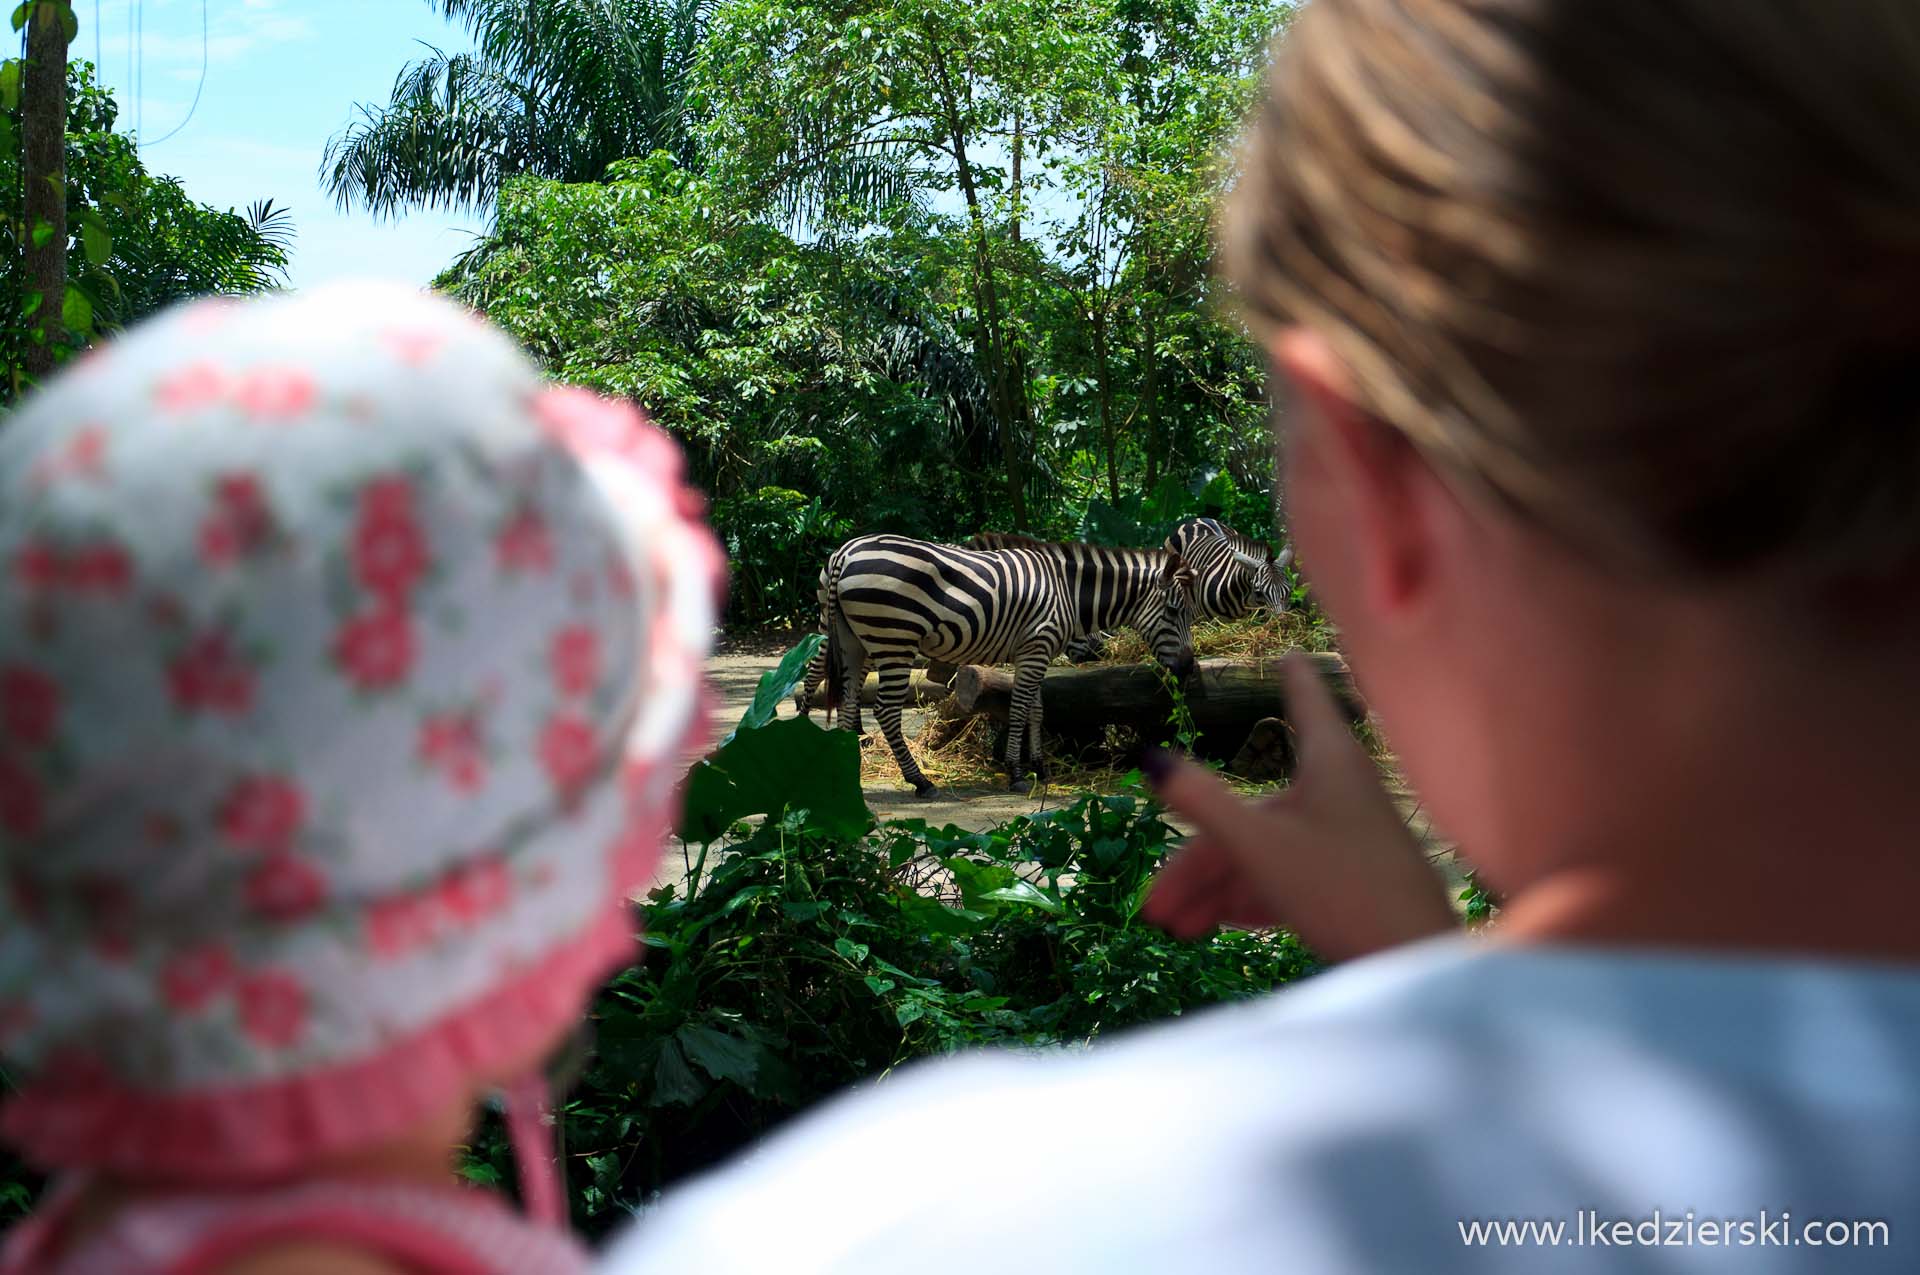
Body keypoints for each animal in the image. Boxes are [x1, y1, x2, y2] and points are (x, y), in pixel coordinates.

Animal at [798, 533, 1190, 798]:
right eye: (1174, 611)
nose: (1188, 668)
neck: (1066, 591)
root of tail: (845, 553)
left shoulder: (1034, 652)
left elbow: (1037, 709)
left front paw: (1040, 767)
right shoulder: (1035, 647)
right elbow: (1018, 709)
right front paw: (1016, 772)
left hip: (851, 639)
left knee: (845, 699)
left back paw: (846, 768)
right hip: (893, 638)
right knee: (883, 709)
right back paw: (920, 781)